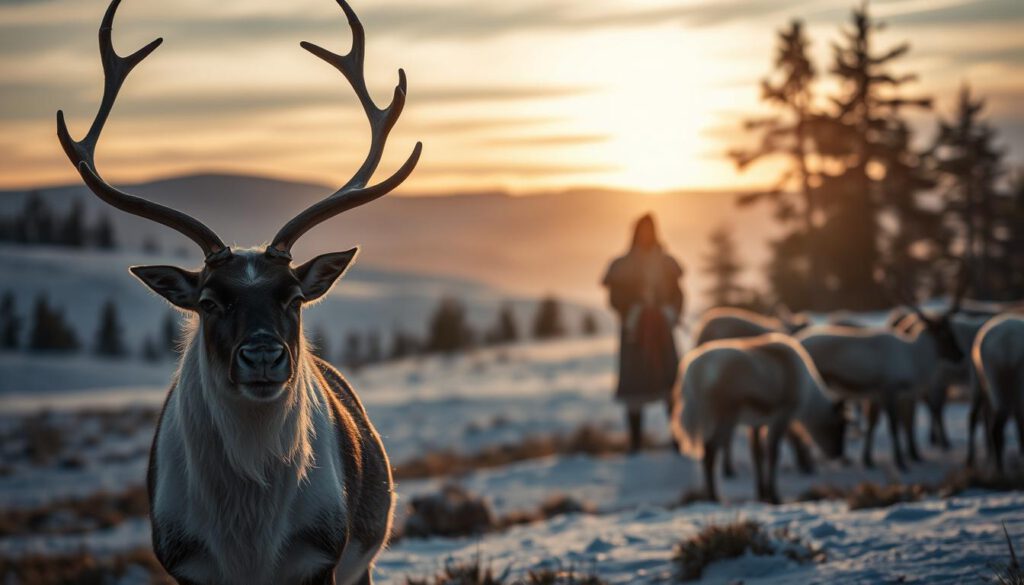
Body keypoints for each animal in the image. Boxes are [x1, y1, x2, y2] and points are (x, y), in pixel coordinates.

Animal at [55, 0, 421, 583]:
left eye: (293, 297)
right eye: (209, 302)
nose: (264, 357)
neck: (248, 535)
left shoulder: (320, 555)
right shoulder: (186, 560)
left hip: (361, 560)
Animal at [672, 333, 846, 504]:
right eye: (839, 426)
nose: (838, 452)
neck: (808, 396)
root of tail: (691, 374)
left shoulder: (758, 422)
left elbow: (757, 455)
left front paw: (761, 494)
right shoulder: (783, 414)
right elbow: (773, 453)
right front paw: (774, 496)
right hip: (725, 416)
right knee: (709, 449)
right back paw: (714, 497)